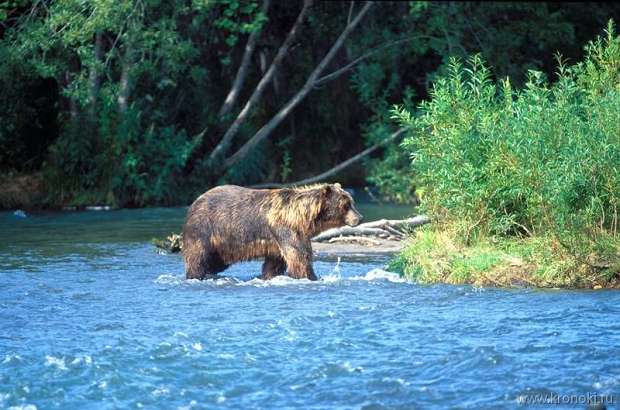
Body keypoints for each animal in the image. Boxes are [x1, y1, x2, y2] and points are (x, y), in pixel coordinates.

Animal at [182, 184, 360, 280]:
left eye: (352, 202)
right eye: (345, 205)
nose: (359, 217)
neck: (302, 219)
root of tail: (195, 202)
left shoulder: (277, 242)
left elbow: (274, 263)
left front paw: (269, 276)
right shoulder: (285, 230)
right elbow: (299, 256)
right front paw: (310, 276)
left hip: (223, 246)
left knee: (215, 262)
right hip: (204, 229)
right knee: (198, 257)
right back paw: (195, 274)